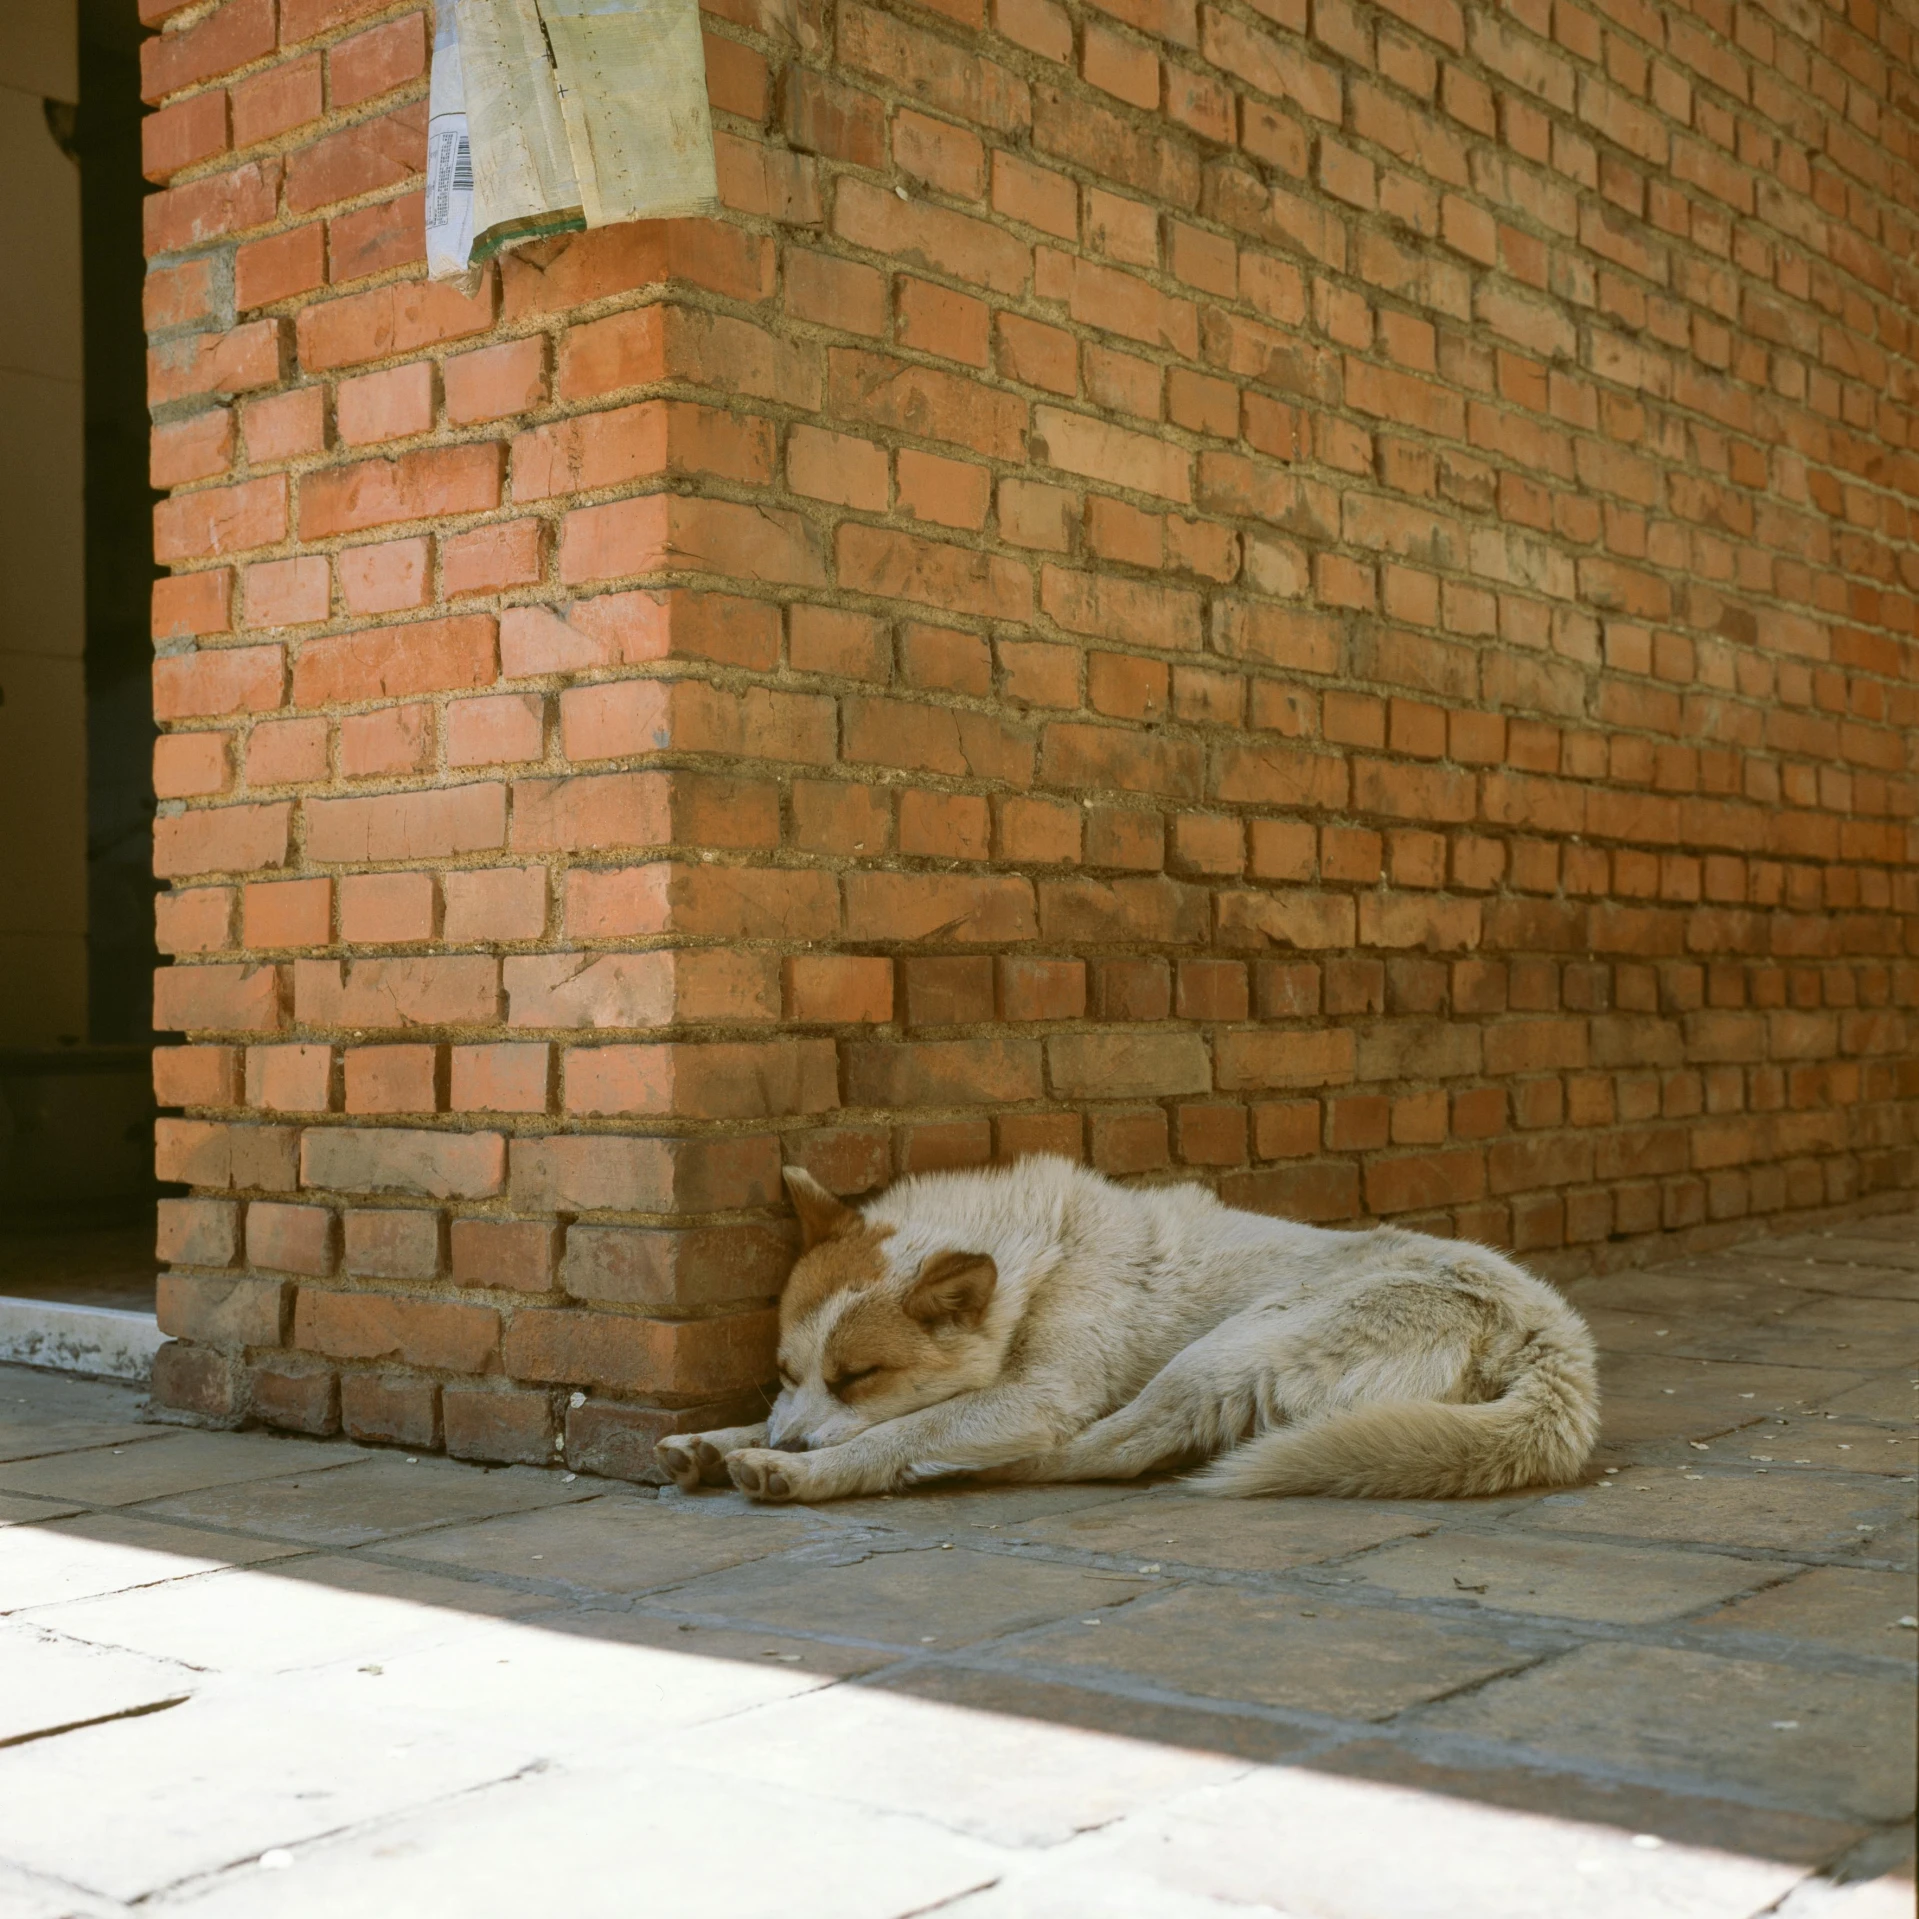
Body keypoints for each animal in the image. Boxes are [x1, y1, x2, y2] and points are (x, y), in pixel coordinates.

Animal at [652, 1151, 1596, 1496]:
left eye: (860, 1376)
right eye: (785, 1368)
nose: (792, 1440)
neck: (1044, 1264)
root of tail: (1546, 1327)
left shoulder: (1033, 1395)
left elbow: (896, 1433)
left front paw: (798, 1467)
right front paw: (718, 1438)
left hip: (1226, 1348)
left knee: (1105, 1451)